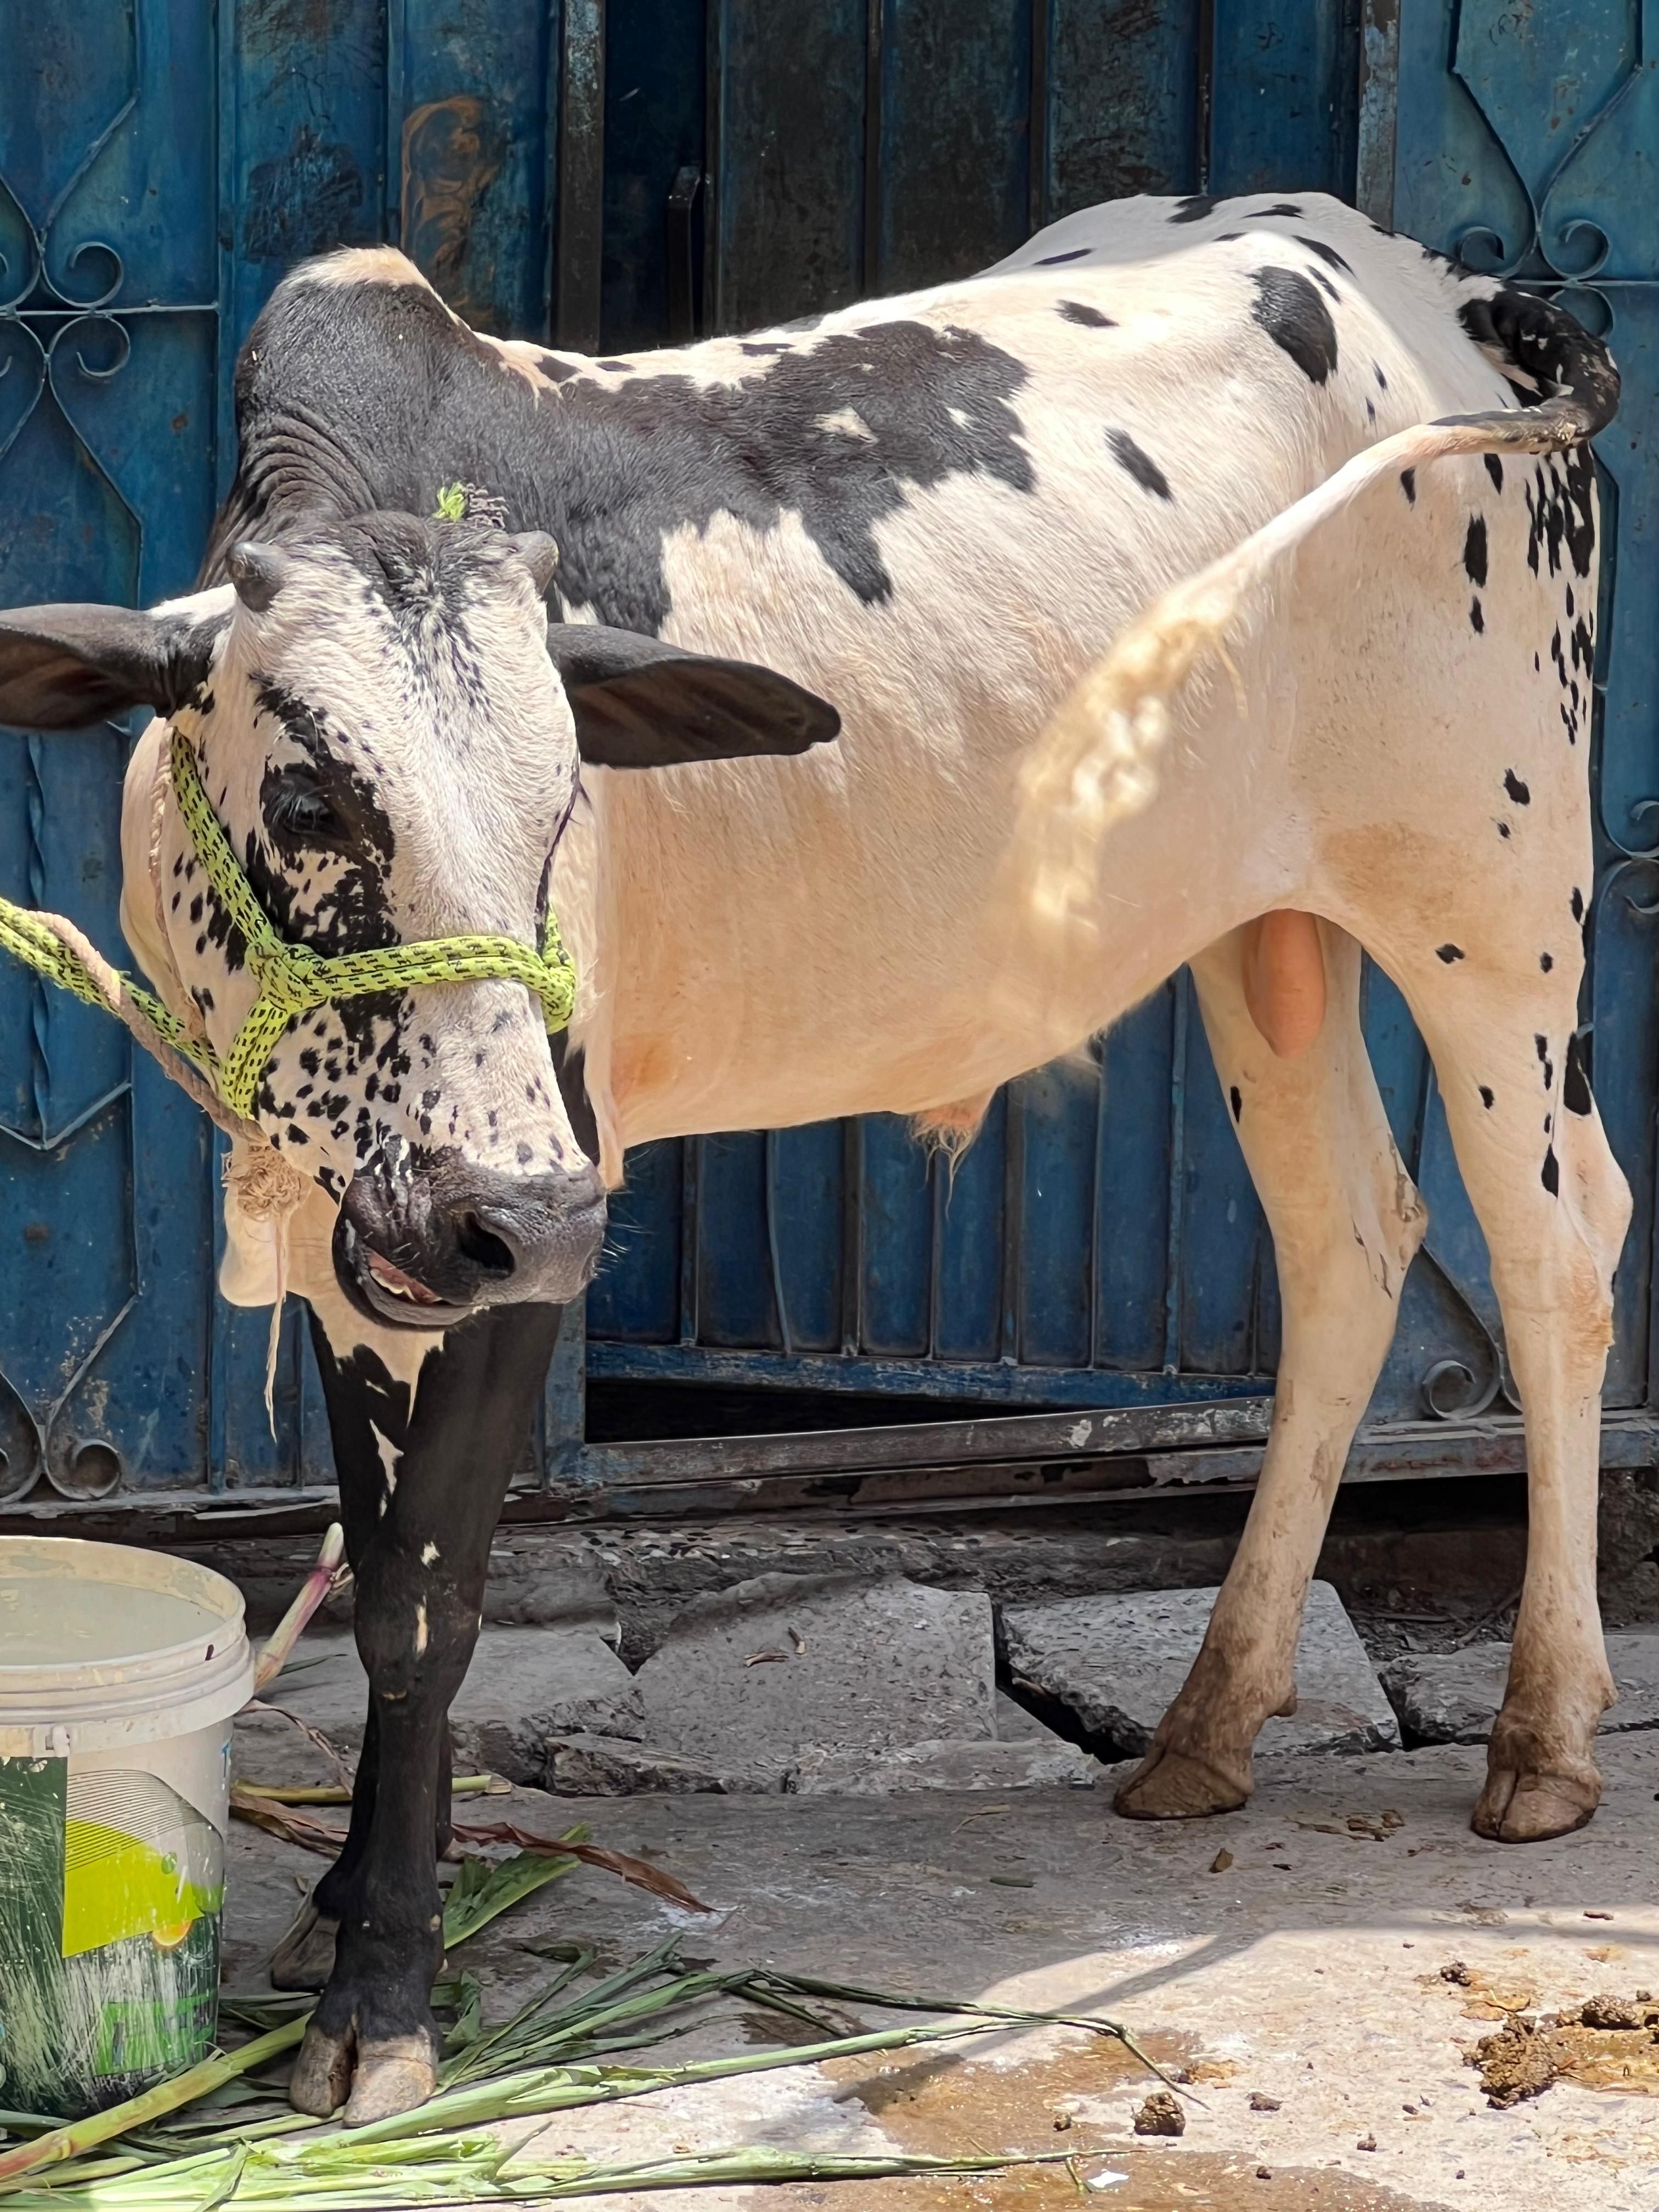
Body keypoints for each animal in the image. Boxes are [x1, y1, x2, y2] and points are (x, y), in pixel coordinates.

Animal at [0, 190, 1625, 2125]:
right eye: (316, 801)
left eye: (568, 806)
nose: (518, 1209)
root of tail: (1450, 285)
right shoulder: (369, 1225)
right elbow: (375, 1551)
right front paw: (348, 1911)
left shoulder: (527, 1221)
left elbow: (424, 1605)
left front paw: (380, 1992)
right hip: (1262, 930)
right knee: (1348, 1244)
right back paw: (1210, 1724)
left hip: (1494, 911)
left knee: (1553, 1255)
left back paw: (1541, 1739)